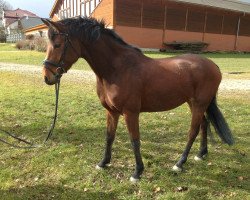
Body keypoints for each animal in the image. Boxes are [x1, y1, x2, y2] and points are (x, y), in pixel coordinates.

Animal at [41, 17, 234, 183]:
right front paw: (103, 163)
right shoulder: (111, 111)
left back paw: (179, 163)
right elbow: (109, 136)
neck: (117, 69)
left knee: (193, 131)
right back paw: (201, 154)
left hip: (199, 104)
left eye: (57, 45)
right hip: (194, 103)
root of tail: (213, 65)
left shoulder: (130, 113)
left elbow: (135, 140)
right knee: (204, 125)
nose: (47, 77)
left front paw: (137, 172)